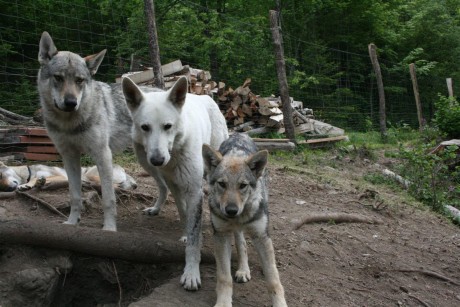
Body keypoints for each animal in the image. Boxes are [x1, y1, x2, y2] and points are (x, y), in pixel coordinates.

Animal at [37, 31, 132, 231]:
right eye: (58, 78)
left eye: (79, 80)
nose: (71, 103)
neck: (69, 124)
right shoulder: (69, 156)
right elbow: (75, 196)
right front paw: (72, 222)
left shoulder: (103, 155)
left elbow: (108, 199)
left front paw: (109, 228)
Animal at [121, 75, 229, 292]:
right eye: (145, 127)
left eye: (167, 126)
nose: (158, 159)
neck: (176, 152)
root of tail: (206, 96)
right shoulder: (175, 185)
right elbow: (183, 213)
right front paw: (185, 232)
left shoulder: (194, 190)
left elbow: (195, 237)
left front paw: (191, 273)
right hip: (145, 161)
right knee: (162, 187)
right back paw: (155, 208)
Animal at [202, 134, 286, 307]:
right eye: (222, 184)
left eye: (243, 185)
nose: (231, 210)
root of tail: (239, 134)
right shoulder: (221, 236)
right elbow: (224, 277)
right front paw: (223, 303)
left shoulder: (261, 236)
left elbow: (273, 279)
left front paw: (280, 303)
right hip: (234, 232)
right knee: (242, 244)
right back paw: (243, 270)